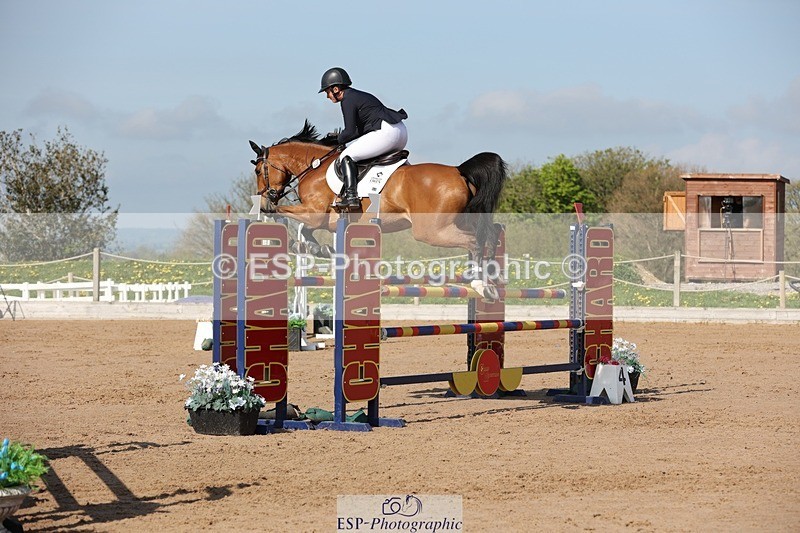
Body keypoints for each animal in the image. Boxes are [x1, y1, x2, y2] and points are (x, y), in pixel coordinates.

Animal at [249, 120, 507, 262]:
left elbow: (283, 214)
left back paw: (479, 283)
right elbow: (308, 230)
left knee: (474, 240)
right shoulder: (323, 219)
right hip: (459, 220)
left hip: (431, 230)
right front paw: (318, 248)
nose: (264, 199)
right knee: (490, 233)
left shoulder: (314, 212)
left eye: (259, 171)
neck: (314, 165)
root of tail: (459, 171)